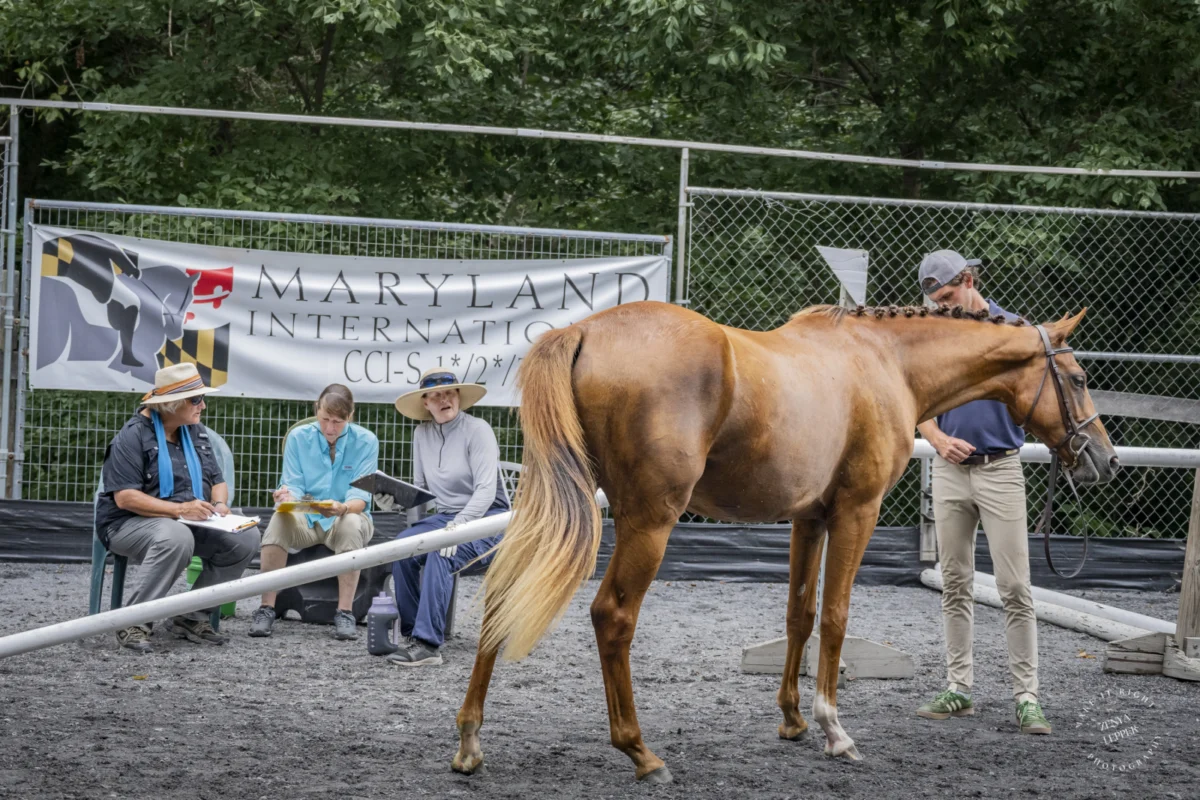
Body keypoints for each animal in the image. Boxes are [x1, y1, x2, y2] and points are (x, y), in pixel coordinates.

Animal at [451, 299, 1119, 783]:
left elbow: (801, 613)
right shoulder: (856, 513)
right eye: (1078, 377)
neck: (885, 362)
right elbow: (837, 616)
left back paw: (469, 741)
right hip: (648, 522)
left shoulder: (810, 520)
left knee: (500, 597)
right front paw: (833, 730)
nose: (1104, 459)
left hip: (553, 506)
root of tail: (584, 331)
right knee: (612, 616)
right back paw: (641, 752)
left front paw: (794, 719)